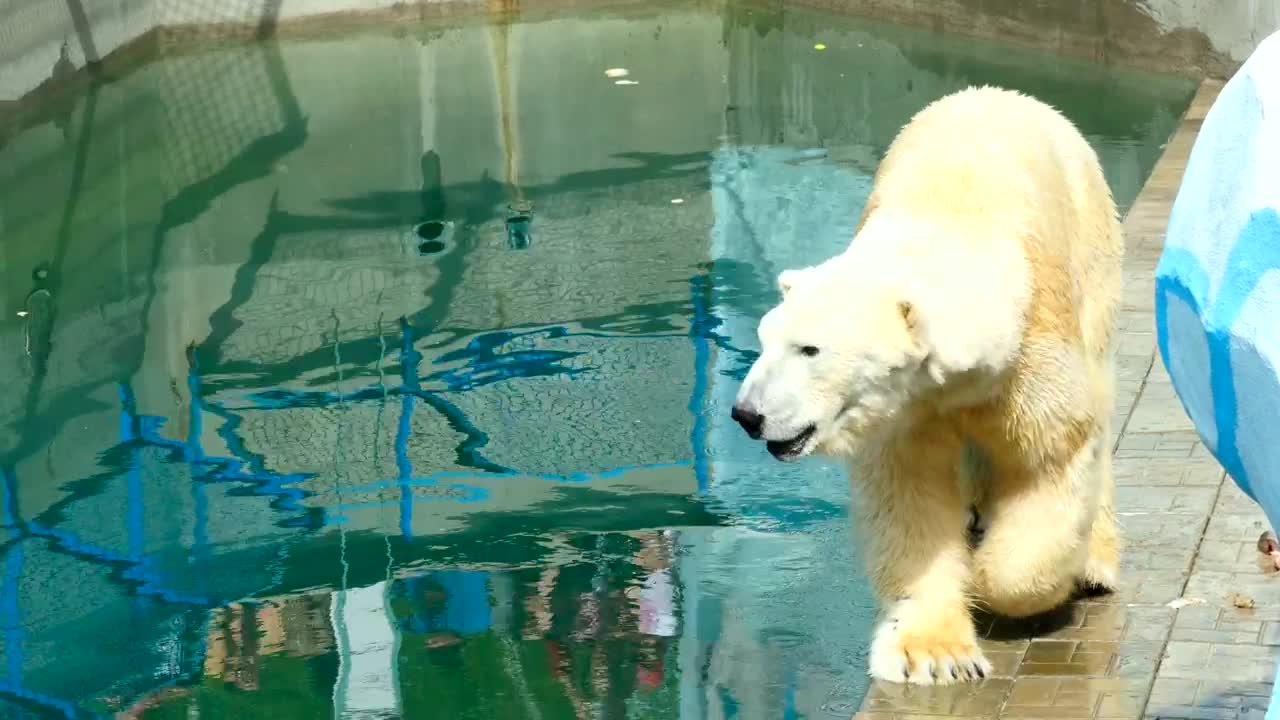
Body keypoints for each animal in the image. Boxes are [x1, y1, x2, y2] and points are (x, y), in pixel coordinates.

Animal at [730, 85, 1123, 685]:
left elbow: (1051, 455)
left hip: (1093, 248)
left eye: (809, 349)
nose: (747, 414)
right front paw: (936, 654)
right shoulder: (906, 410)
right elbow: (910, 499)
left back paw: (1096, 561)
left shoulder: (1032, 345)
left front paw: (991, 579)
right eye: (765, 338)